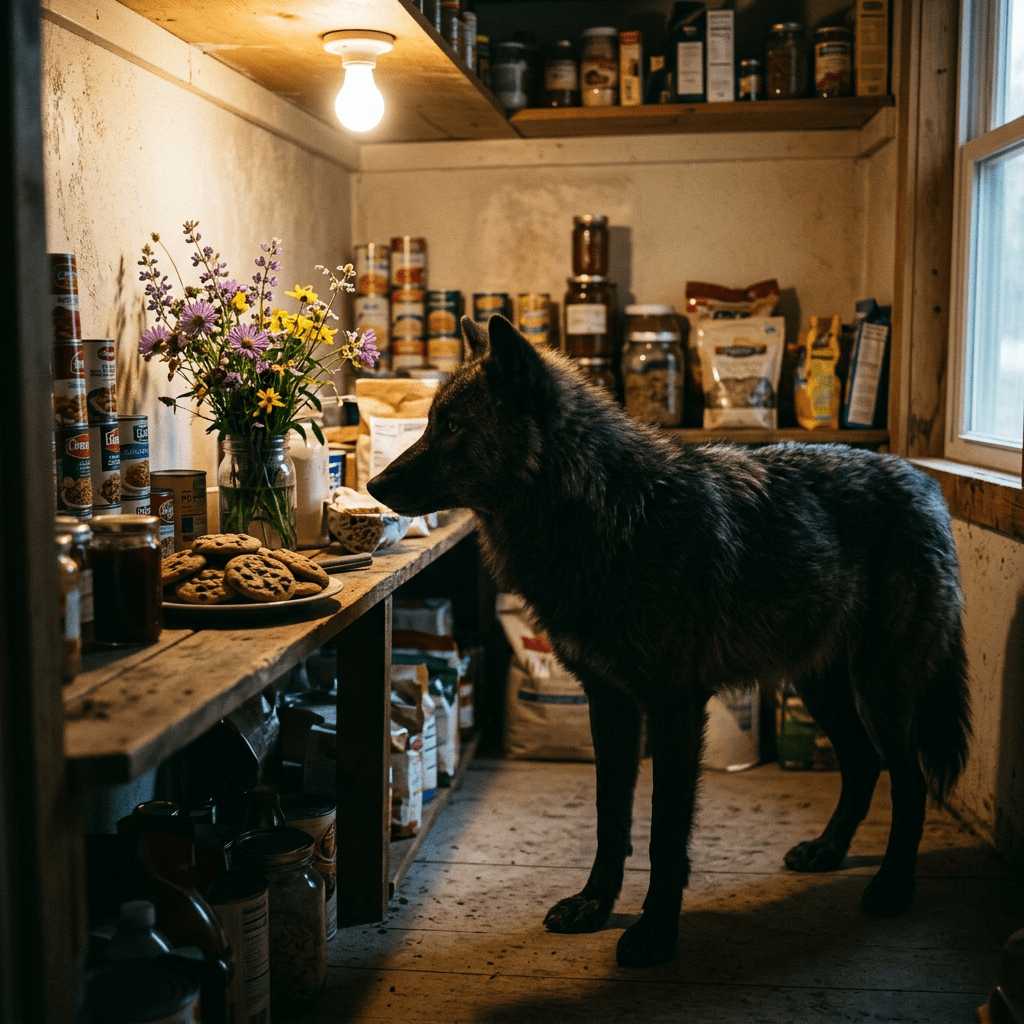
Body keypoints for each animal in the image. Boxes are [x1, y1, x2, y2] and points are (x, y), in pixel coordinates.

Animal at [367, 314, 971, 969]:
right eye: (431, 422)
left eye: (451, 426)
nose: (373, 484)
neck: (601, 510)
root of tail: (923, 479)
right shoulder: (609, 701)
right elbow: (611, 819)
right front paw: (594, 906)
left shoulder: (675, 706)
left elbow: (663, 833)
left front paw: (655, 932)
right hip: (819, 685)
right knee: (863, 766)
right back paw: (827, 852)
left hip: (881, 689)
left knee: (908, 781)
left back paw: (893, 886)